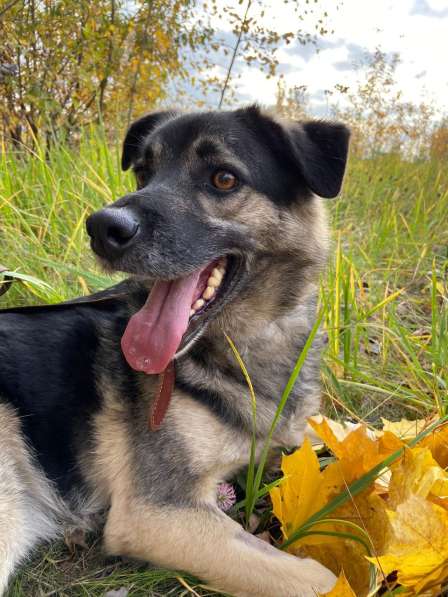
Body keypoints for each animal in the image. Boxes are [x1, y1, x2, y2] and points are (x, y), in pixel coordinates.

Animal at [0, 105, 350, 592]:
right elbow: (319, 579)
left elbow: (351, 430)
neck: (246, 347)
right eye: (143, 173)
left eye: (223, 178)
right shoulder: (158, 513)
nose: (102, 228)